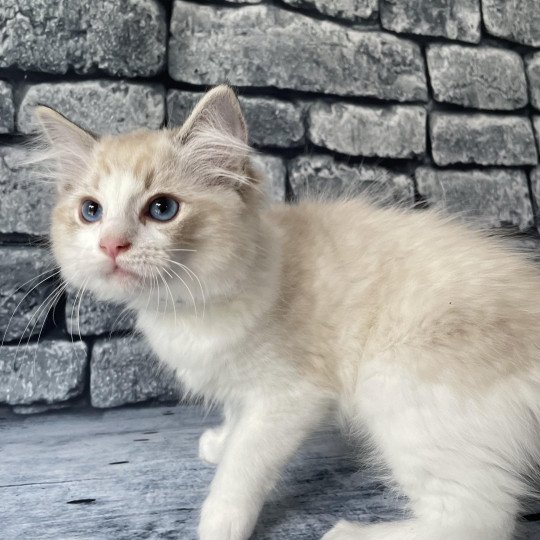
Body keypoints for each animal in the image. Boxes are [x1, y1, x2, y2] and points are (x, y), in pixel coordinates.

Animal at [34, 86, 540, 536]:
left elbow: (245, 464)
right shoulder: (239, 381)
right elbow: (236, 421)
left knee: (476, 519)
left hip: (401, 391)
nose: (111, 245)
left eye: (162, 209)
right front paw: (221, 442)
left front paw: (220, 520)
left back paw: (348, 535)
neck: (187, 307)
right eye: (91, 212)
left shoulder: (289, 399)